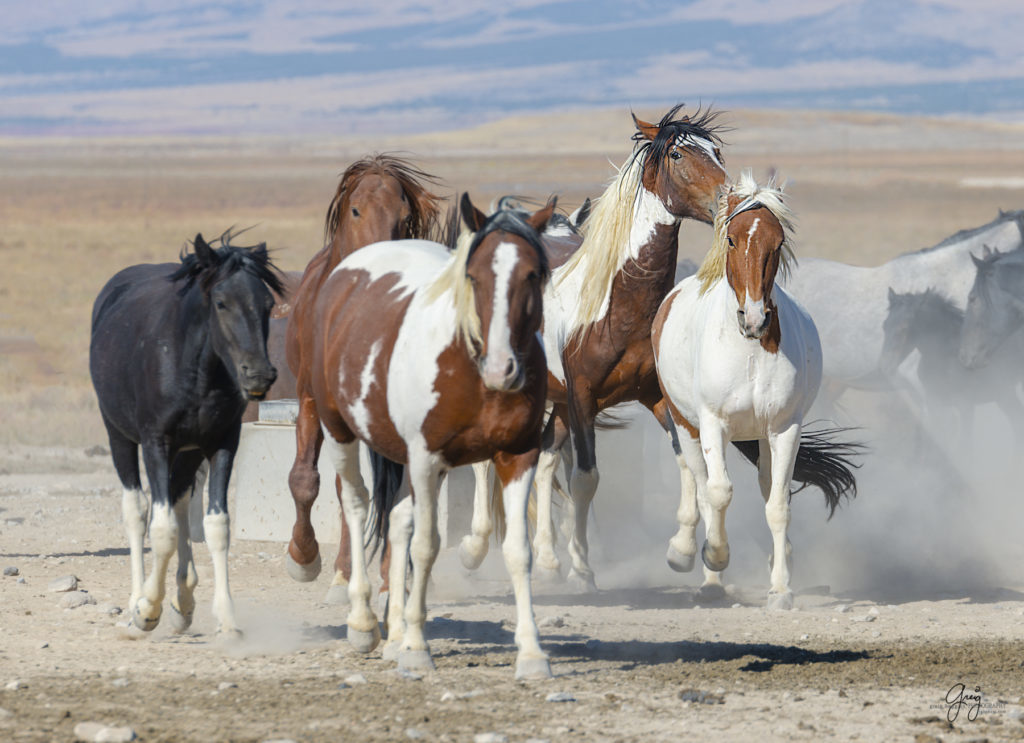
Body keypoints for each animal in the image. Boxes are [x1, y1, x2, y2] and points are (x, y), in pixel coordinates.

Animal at [89, 234, 284, 638]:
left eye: (269, 303)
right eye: (221, 303)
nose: (259, 374)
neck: (194, 367)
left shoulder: (222, 443)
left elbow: (216, 526)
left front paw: (226, 619)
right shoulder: (156, 443)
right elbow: (160, 528)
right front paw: (147, 609)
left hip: (188, 450)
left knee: (179, 500)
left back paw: (183, 601)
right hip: (120, 438)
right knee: (137, 510)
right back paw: (137, 601)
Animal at [651, 172, 860, 609]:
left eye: (777, 242)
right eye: (732, 239)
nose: (755, 319)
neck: (747, 350)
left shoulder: (784, 429)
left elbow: (778, 504)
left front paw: (781, 588)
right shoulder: (712, 424)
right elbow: (717, 493)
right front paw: (714, 555)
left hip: (761, 436)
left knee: (764, 488)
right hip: (685, 425)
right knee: (699, 485)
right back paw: (699, 567)